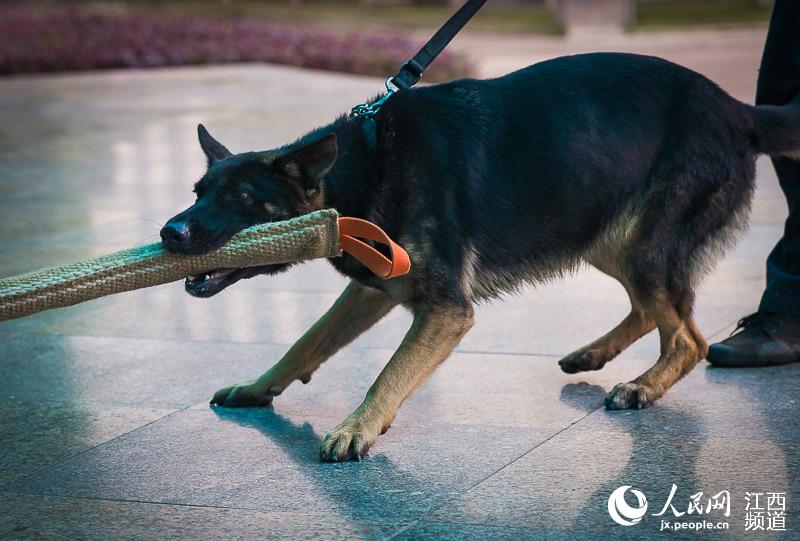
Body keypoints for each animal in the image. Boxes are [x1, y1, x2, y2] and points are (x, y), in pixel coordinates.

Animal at [161, 53, 800, 460]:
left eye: (241, 200)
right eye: (198, 192)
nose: (170, 232)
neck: (363, 167)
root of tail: (737, 109)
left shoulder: (446, 309)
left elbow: (389, 372)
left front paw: (358, 428)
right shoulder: (370, 290)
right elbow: (307, 341)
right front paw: (259, 387)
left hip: (639, 243)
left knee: (688, 335)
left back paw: (644, 386)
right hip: (601, 229)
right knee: (657, 311)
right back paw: (595, 354)